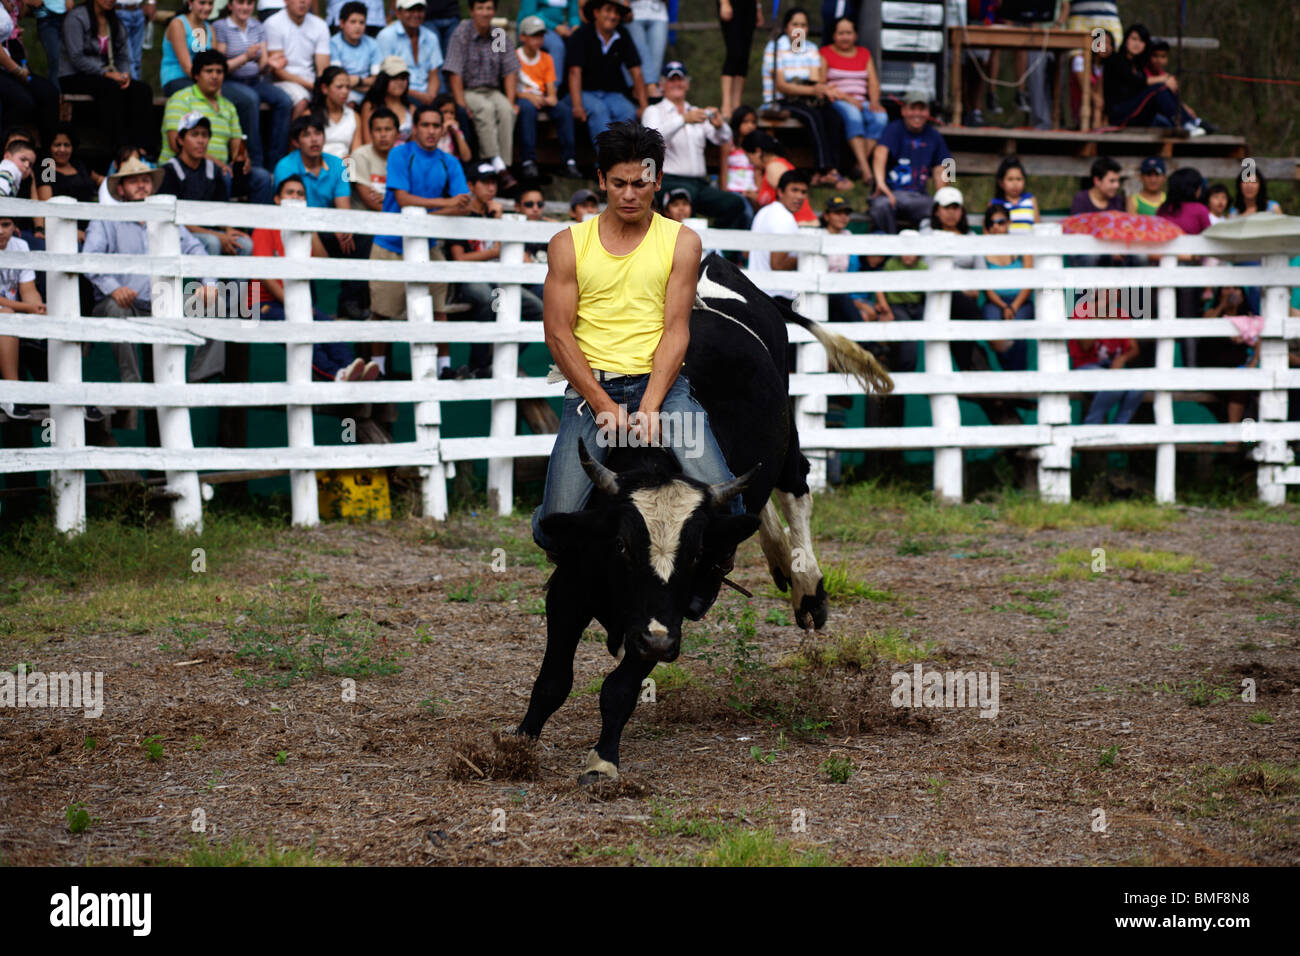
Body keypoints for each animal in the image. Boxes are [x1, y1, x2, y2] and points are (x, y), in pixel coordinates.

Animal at [517, 254, 894, 785]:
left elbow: (619, 688)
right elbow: (553, 678)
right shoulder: (571, 582)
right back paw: (778, 559)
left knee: (795, 487)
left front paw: (603, 760)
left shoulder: (664, 620)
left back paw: (807, 588)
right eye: (621, 545)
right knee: (752, 509)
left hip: (787, 435)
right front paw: (516, 747)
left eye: (694, 554)